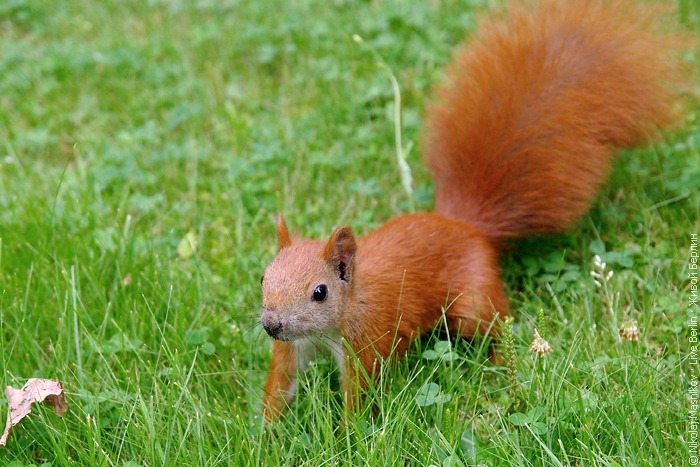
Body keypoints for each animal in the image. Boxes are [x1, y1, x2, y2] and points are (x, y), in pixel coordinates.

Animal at [259, 0, 688, 421]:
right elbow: (279, 387)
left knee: (496, 326)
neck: (336, 320)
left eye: (320, 292)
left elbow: (358, 397)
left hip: (473, 299)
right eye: (264, 277)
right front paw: (268, 432)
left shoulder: (367, 342)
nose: (271, 324)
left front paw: (349, 435)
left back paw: (499, 367)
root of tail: (464, 225)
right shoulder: (291, 350)